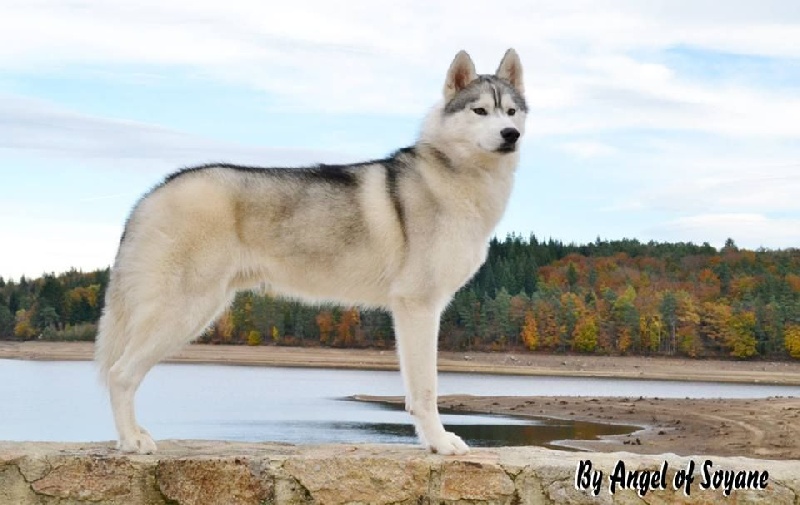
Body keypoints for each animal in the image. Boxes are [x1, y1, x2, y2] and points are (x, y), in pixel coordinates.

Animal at [95, 48, 527, 455]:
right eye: (479, 110)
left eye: (511, 111)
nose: (510, 134)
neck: (458, 180)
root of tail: (151, 195)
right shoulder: (418, 306)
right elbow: (425, 389)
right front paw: (439, 443)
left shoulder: (418, 310)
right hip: (184, 311)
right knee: (119, 374)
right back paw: (131, 441)